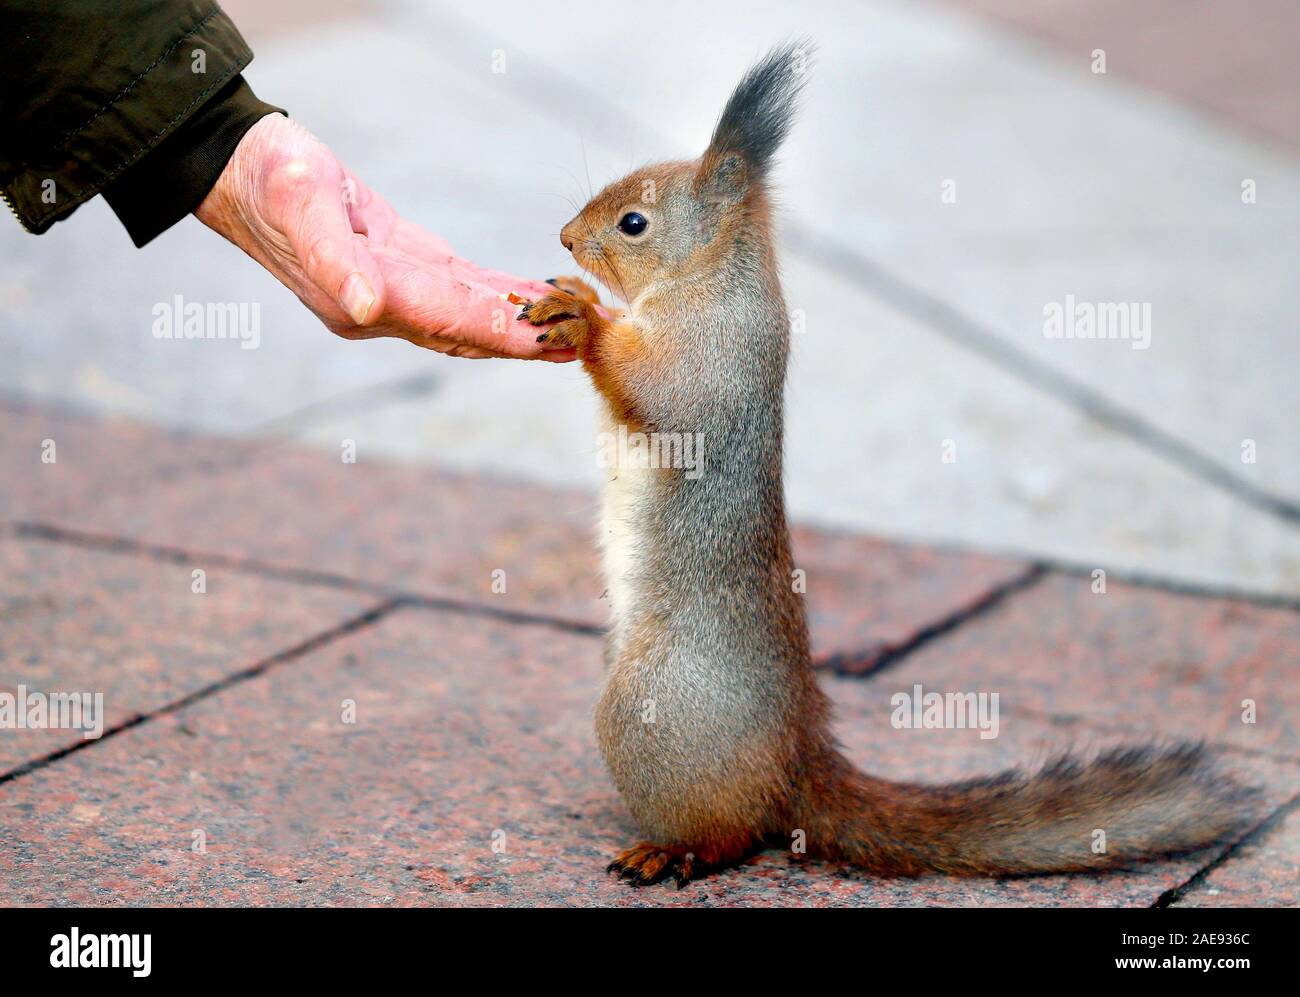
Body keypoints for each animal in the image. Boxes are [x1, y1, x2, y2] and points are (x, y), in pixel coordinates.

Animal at [517, 44, 1258, 889]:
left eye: (633, 222)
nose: (566, 237)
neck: (713, 276)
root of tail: (798, 760)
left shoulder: (710, 355)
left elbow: (655, 387)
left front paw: (581, 316)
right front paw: (568, 301)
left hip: (652, 708)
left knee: (737, 832)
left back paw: (673, 849)